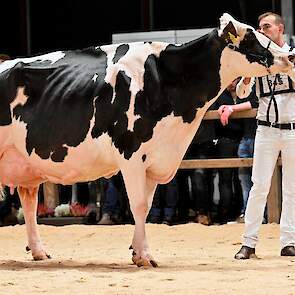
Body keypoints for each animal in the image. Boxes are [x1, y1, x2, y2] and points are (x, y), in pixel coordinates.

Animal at [0, 14, 295, 268]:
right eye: (251, 36)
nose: (289, 55)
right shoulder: (131, 153)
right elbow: (139, 205)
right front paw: (144, 256)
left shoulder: (155, 159)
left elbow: (147, 205)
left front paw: (137, 251)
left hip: (24, 164)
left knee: (28, 201)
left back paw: (39, 251)